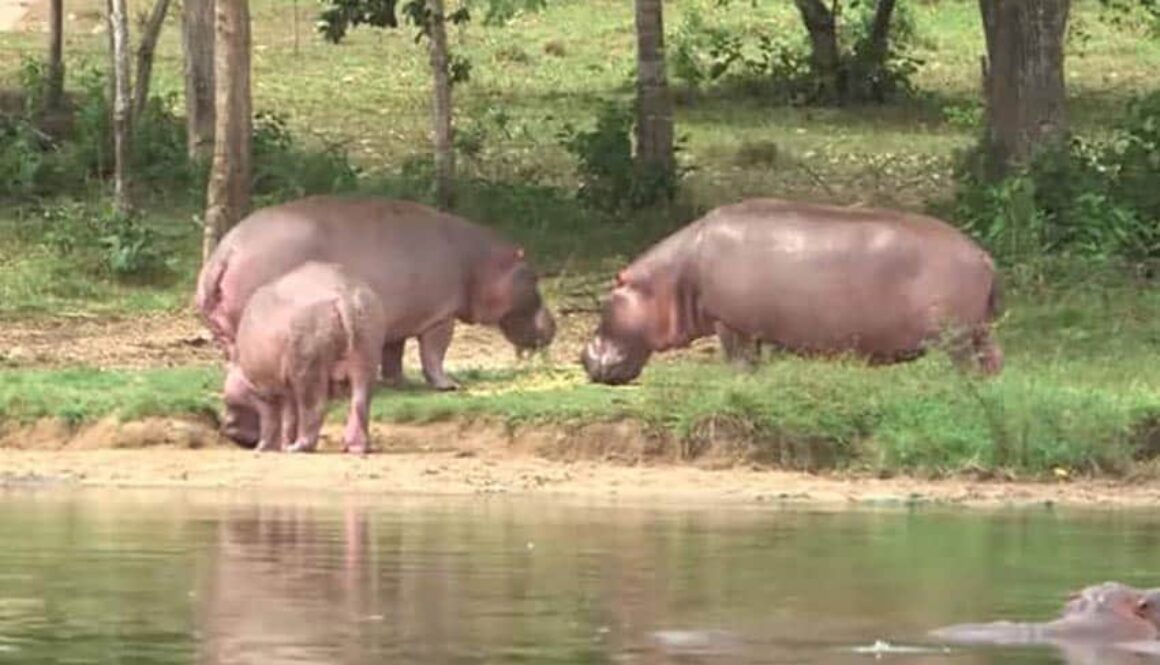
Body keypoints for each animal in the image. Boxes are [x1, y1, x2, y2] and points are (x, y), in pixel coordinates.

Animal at [221, 262, 387, 454]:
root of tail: (343, 295)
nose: (226, 427)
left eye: (226, 402)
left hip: (307, 365)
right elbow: (290, 418)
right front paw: (282, 445)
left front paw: (266, 448)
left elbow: (274, 419)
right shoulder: (286, 390)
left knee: (313, 407)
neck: (237, 367)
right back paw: (356, 447)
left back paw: (297, 447)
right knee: (360, 401)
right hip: (368, 349)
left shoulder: (265, 392)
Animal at [580, 198, 1003, 385]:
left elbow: (737, 360)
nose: (583, 358)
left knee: (966, 367)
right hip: (980, 329)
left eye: (608, 298)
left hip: (954, 335)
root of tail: (983, 254)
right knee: (993, 360)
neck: (671, 276)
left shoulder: (730, 322)